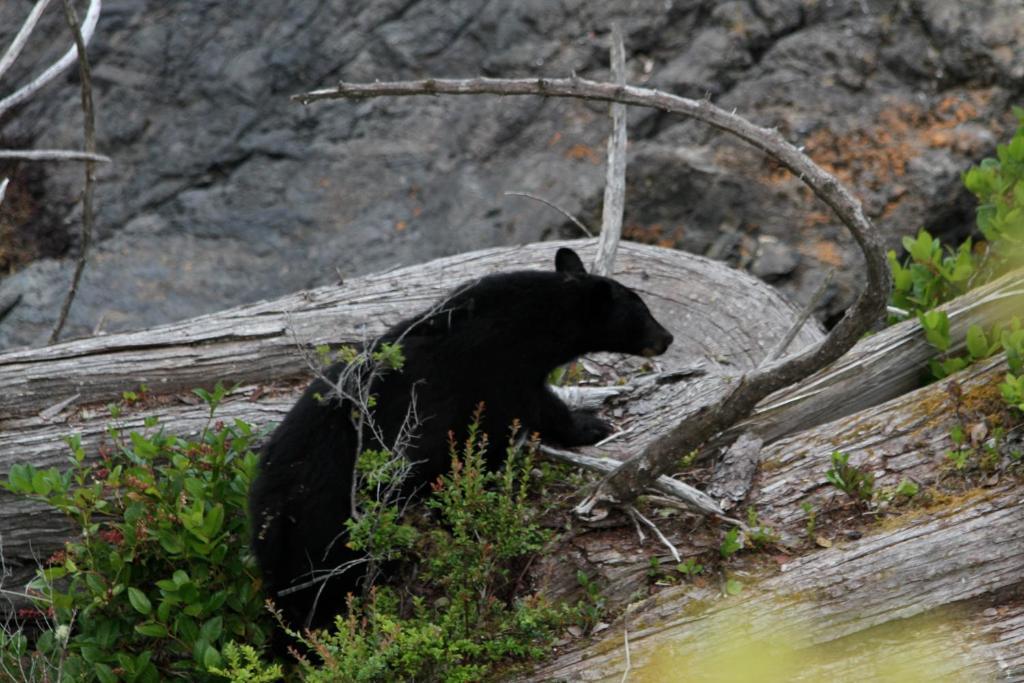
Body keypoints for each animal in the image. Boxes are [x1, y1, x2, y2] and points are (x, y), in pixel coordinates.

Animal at [249, 248, 671, 638]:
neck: (528, 323)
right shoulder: (497, 374)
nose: (666, 338)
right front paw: (589, 426)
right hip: (325, 527)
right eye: (641, 310)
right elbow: (527, 414)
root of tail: (267, 522)